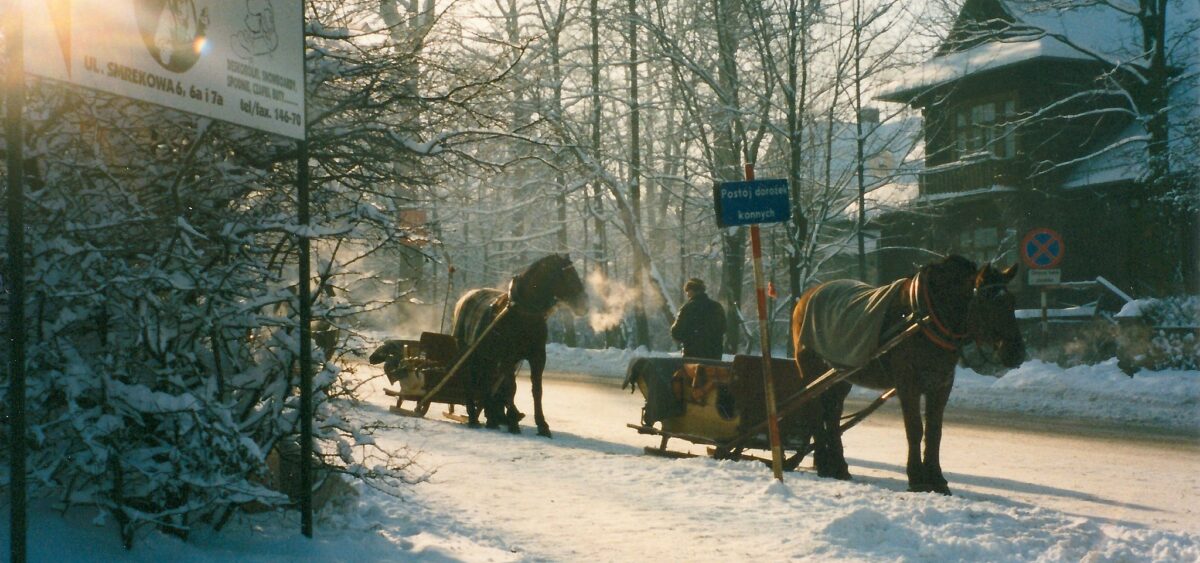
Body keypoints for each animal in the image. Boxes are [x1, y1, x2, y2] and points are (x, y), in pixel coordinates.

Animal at [451, 253, 588, 434]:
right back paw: (473, 417)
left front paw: (541, 424)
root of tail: (464, 298)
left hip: (488, 357)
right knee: (469, 380)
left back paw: (491, 418)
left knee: (486, 382)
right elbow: (511, 387)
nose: (584, 304)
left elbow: (537, 390)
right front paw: (513, 421)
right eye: (567, 275)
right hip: (469, 354)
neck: (524, 313)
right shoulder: (509, 357)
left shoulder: (537, 356)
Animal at [796, 253, 1022, 492]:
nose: (1017, 352)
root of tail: (806, 296)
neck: (926, 316)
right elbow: (915, 428)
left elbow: (934, 431)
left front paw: (937, 478)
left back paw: (838, 466)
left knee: (832, 414)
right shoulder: (908, 383)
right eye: (991, 303)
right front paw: (916, 478)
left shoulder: (941, 385)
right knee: (816, 412)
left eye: (1012, 302)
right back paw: (824, 463)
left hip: (842, 377)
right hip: (811, 372)